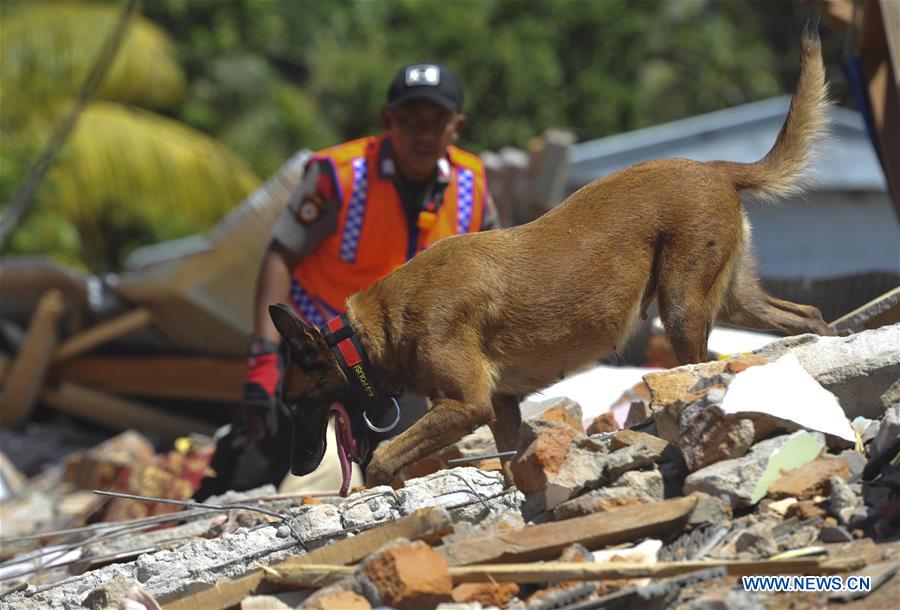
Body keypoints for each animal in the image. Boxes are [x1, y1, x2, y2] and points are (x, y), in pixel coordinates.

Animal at [270, 28, 832, 492]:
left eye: (294, 405)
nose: (298, 468)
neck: (370, 333)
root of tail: (715, 168)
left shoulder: (466, 404)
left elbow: (386, 457)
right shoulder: (499, 408)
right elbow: (508, 461)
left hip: (681, 308)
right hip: (729, 298)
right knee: (808, 315)